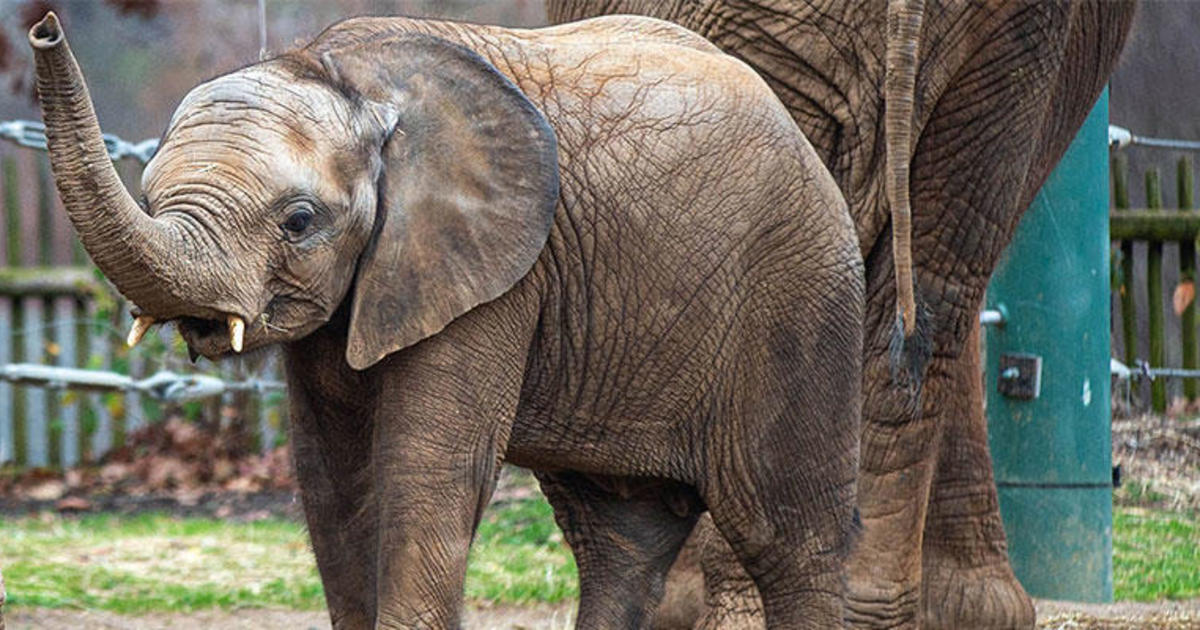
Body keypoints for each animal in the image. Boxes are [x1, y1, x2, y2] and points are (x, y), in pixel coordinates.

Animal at [29, 10, 871, 629]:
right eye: (150, 189)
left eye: (299, 221)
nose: (42, 27)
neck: (345, 72)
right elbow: (333, 477)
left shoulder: (496, 274)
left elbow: (427, 470)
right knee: (620, 539)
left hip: (801, 293)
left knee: (790, 538)